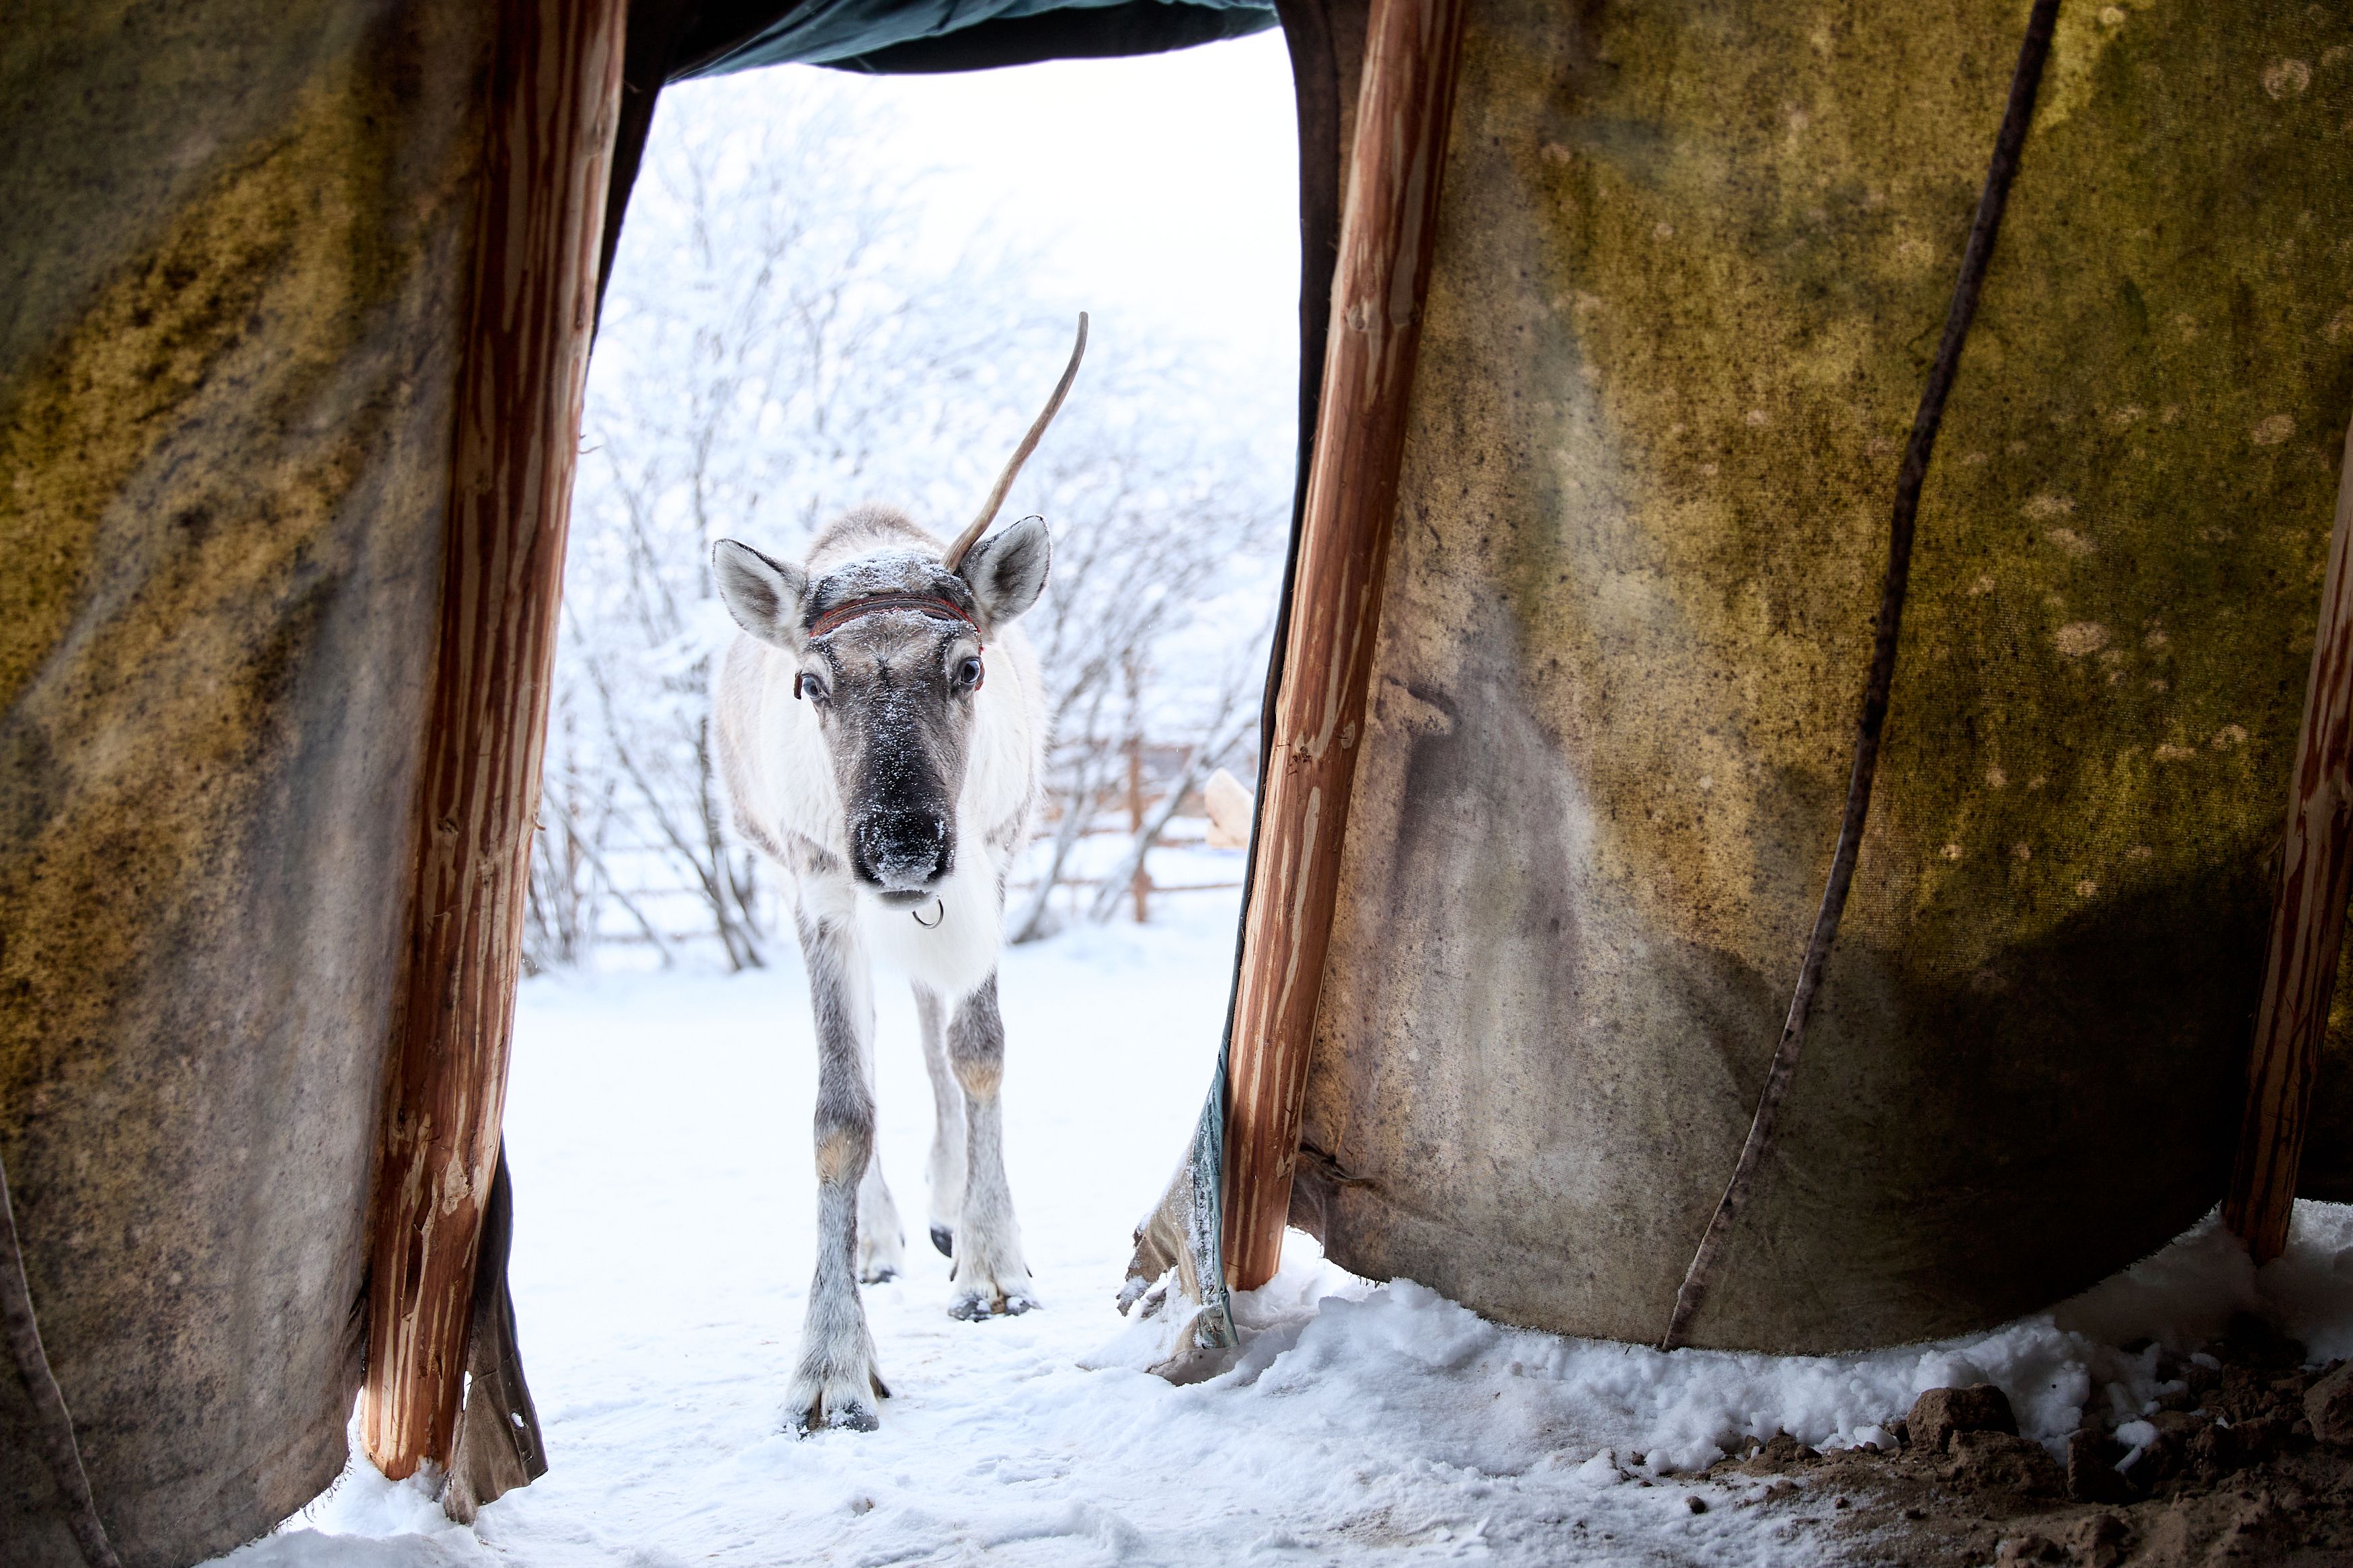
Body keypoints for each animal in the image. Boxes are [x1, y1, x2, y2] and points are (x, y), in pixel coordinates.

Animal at [707, 317, 1085, 1433]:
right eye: (810, 681)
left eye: (968, 666)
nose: (904, 841)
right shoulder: (821, 893)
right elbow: (840, 1109)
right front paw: (831, 1362)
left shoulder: (989, 868)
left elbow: (977, 1051)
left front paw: (994, 1261)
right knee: (879, 1046)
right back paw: (879, 1236)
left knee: (929, 1036)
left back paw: (950, 1210)